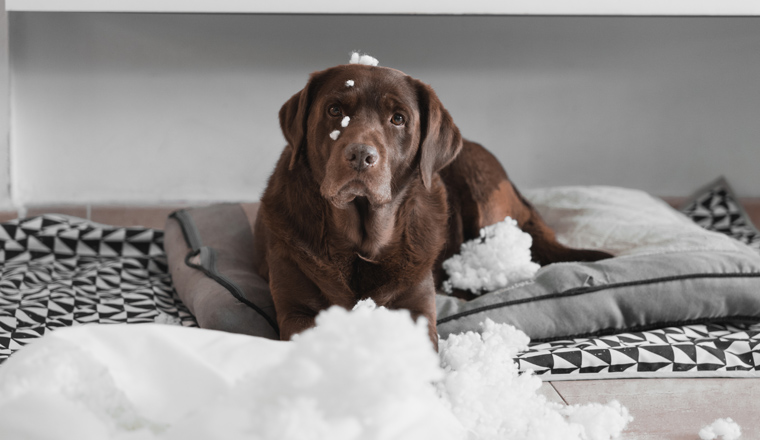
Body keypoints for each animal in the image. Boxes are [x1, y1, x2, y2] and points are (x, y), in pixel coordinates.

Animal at [255, 64, 612, 348]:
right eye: (333, 110)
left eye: (398, 119)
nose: (360, 155)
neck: (361, 246)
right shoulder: (296, 310)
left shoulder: (417, 309)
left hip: (479, 188)